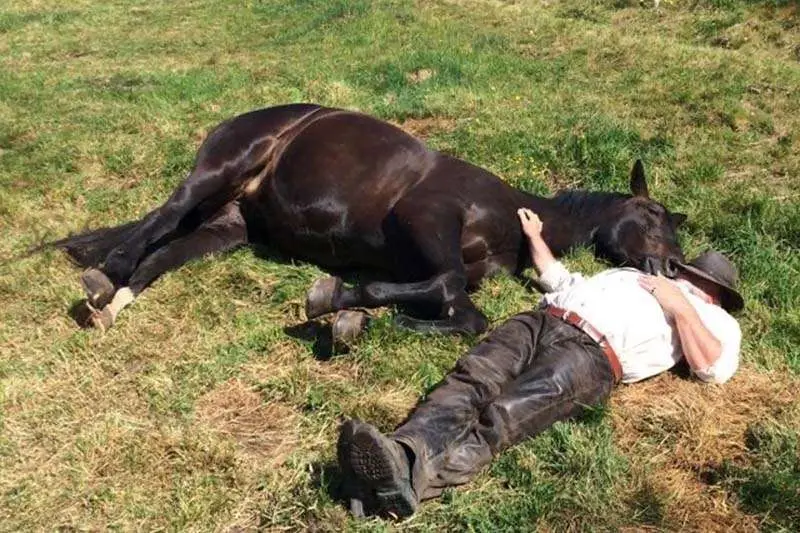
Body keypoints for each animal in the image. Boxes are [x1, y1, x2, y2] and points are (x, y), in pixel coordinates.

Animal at [52, 103, 687, 339]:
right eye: (653, 215)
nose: (674, 268)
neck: (510, 213)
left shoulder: (452, 270)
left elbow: (464, 313)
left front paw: (354, 319)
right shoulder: (427, 217)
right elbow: (447, 288)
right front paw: (336, 300)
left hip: (227, 227)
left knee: (165, 250)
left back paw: (114, 300)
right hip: (219, 170)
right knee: (165, 214)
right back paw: (106, 274)